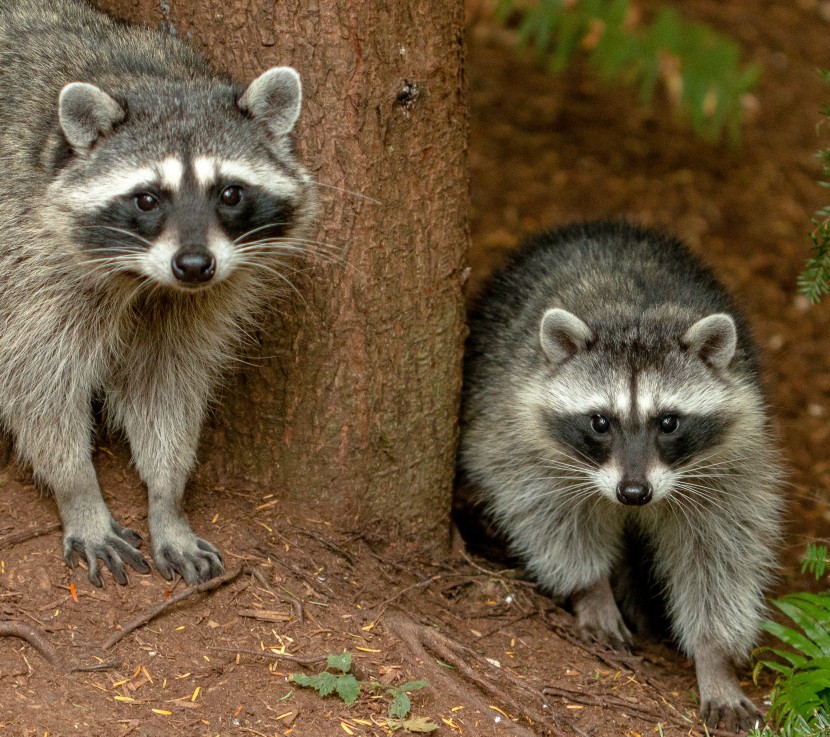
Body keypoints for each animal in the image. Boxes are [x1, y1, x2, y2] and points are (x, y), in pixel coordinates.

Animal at [0, 0, 316, 588]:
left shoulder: (193, 304)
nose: (194, 265)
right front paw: (80, 492)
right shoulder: (26, 264)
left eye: (230, 193)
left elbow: (166, 387)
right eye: (147, 199)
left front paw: (168, 499)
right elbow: (36, 386)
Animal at [458, 220, 784, 732]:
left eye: (668, 422)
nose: (633, 492)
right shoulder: (520, 432)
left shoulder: (732, 462)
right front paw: (593, 590)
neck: (636, 315)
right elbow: (547, 516)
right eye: (600, 422)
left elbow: (719, 556)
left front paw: (713, 658)